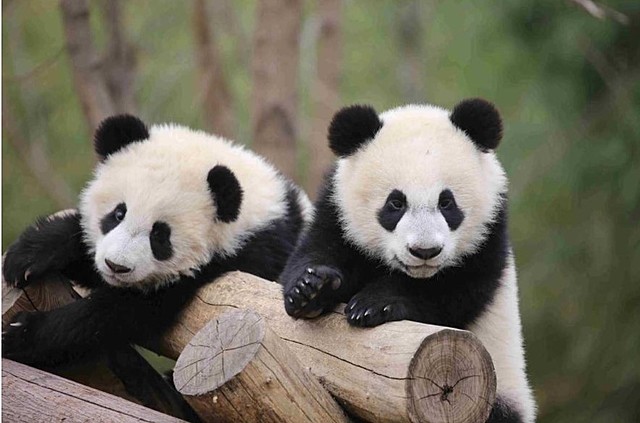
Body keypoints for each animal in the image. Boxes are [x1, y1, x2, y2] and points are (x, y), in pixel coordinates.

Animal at [2, 114, 312, 367]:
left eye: (160, 235)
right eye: (118, 213)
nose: (116, 266)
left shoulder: (249, 254)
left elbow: (126, 313)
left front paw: (21, 334)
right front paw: (26, 256)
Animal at [279, 99, 535, 423]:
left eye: (446, 202)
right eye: (395, 203)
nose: (424, 251)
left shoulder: (488, 238)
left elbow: (453, 293)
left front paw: (373, 304)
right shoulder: (336, 214)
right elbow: (313, 253)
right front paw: (311, 288)